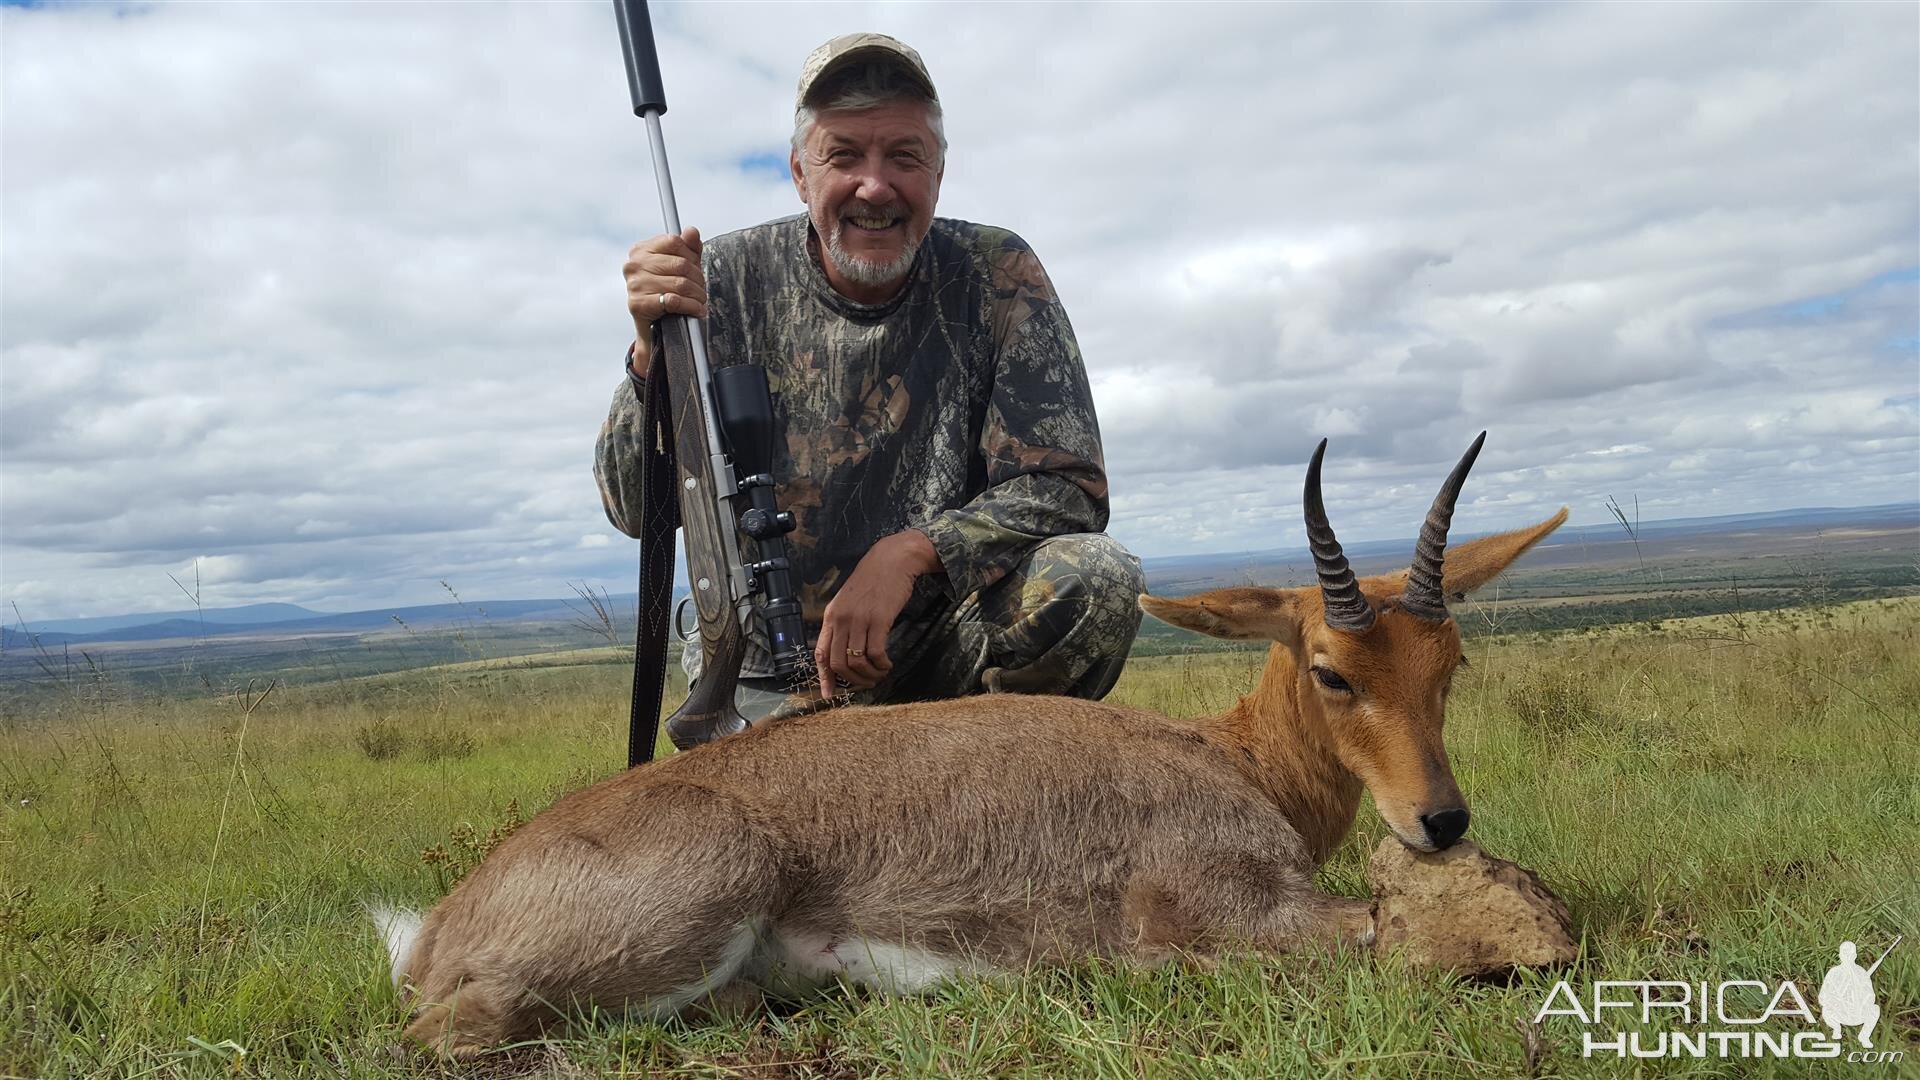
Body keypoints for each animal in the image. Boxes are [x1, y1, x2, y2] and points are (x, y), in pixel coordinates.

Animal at [378, 430, 1574, 1053]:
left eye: (1449, 664)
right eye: (1331, 668)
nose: (1439, 819)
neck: (1227, 757)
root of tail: (438, 925)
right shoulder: (1232, 915)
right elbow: (1403, 934)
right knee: (450, 1033)